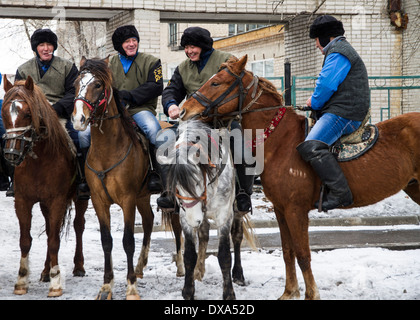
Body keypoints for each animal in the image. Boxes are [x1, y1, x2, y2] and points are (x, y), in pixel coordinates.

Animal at [1, 75, 88, 298]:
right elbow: (26, 240)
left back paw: (78, 266)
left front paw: (56, 284)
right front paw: (22, 280)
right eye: (4, 113)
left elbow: (55, 241)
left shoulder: (57, 201)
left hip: (80, 199)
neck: (39, 160)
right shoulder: (23, 201)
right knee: (50, 230)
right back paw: (46, 271)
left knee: (78, 226)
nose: (12, 154)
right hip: (43, 204)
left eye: (27, 113)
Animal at [71, 56, 184, 298]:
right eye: (76, 84)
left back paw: (180, 266)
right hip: (143, 196)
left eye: (98, 85)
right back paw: (141, 266)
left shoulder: (127, 200)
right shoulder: (100, 201)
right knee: (149, 221)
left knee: (177, 224)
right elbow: (107, 241)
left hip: (172, 196)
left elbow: (128, 240)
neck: (107, 150)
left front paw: (131, 287)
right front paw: (107, 285)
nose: (78, 119)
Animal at [159, 120, 254, 300]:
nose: (193, 219)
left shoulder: (223, 216)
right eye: (176, 185)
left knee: (237, 237)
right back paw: (199, 271)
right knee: (204, 234)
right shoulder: (184, 219)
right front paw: (188, 291)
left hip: (236, 210)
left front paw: (229, 293)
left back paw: (238, 274)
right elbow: (189, 254)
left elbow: (224, 255)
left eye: (197, 182)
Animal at [179, 55, 420, 300]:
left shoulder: (296, 210)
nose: (183, 110)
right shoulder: (281, 209)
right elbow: (288, 251)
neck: (280, 141)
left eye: (216, 82)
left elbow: (303, 253)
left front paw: (311, 294)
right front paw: (290, 291)